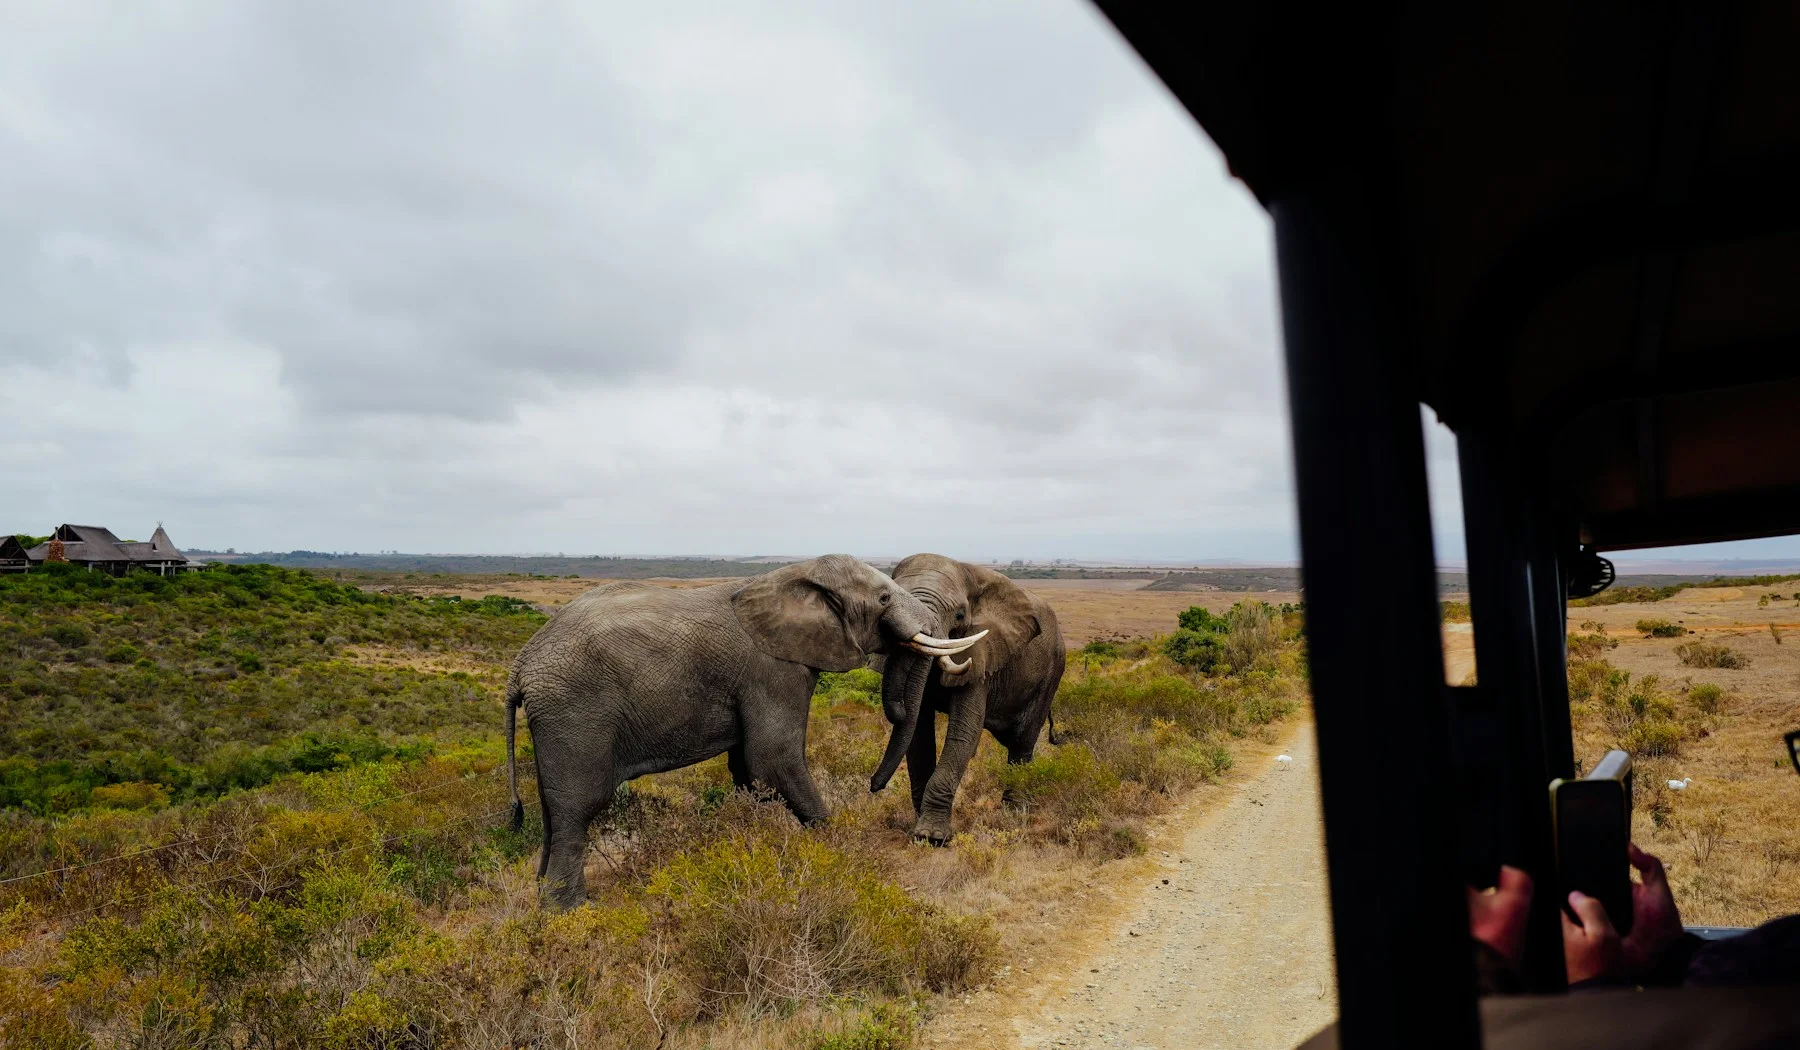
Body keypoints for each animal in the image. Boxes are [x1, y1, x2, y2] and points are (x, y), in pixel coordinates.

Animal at [503, 554, 985, 908]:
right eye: (884, 596)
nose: (872, 786)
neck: (793, 575)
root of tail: (520, 666)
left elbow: (749, 772)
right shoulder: (772, 670)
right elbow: (773, 761)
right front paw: (836, 851)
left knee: (553, 813)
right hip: (575, 714)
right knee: (577, 810)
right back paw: (571, 912)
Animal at [869, 553, 1066, 844]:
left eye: (960, 615)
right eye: (887, 602)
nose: (874, 786)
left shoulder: (982, 653)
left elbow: (963, 732)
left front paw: (932, 837)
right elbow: (917, 732)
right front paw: (920, 833)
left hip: (1051, 673)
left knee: (1022, 741)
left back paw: (1015, 813)